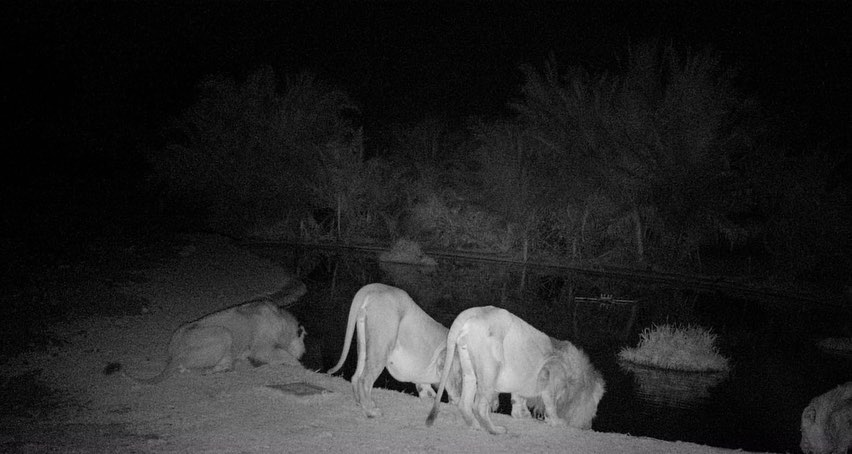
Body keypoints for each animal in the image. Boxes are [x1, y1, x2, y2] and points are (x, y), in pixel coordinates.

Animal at [105, 300, 306, 384]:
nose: (303, 353)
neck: (281, 320)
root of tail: (174, 356)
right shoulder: (263, 348)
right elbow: (285, 357)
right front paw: (299, 366)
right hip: (223, 333)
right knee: (195, 368)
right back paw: (217, 370)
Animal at [328, 284, 462, 418]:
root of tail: (374, 287)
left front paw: (428, 394)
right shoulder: (447, 360)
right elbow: (455, 388)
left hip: (364, 343)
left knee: (356, 376)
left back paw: (360, 402)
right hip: (382, 345)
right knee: (365, 378)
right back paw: (371, 411)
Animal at [426, 306, 604, 434]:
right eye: (595, 408)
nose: (589, 426)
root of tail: (473, 312)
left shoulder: (523, 381)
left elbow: (518, 399)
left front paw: (523, 415)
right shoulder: (550, 375)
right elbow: (550, 404)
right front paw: (557, 421)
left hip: (468, 368)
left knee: (465, 403)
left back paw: (475, 426)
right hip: (490, 369)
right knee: (479, 406)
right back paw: (494, 430)